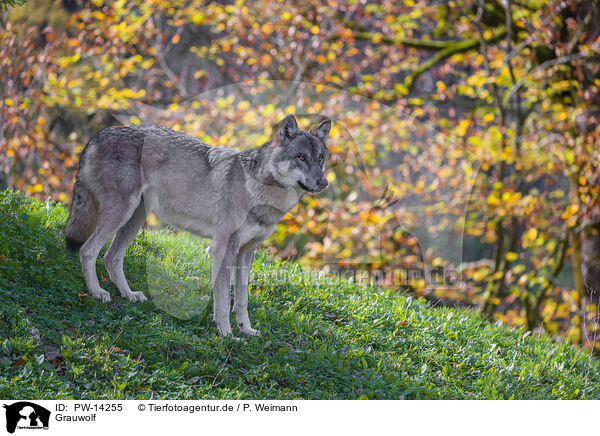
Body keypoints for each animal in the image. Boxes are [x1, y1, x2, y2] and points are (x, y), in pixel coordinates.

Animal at [64, 114, 332, 336]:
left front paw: (246, 330)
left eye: (320, 158)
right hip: (120, 215)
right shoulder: (224, 248)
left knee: (111, 257)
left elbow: (242, 299)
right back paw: (97, 292)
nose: (324, 183)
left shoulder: (246, 253)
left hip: (134, 219)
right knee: (87, 251)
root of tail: (98, 135)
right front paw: (227, 334)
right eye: (301, 158)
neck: (260, 192)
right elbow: (223, 299)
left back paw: (129, 295)